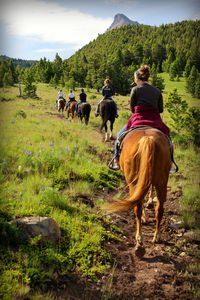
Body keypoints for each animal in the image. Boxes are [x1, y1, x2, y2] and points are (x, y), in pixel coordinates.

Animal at [106, 127, 170, 256]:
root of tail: (148, 139)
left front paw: (145, 216)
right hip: (162, 182)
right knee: (159, 209)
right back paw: (156, 236)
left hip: (134, 182)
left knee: (137, 207)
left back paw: (139, 240)